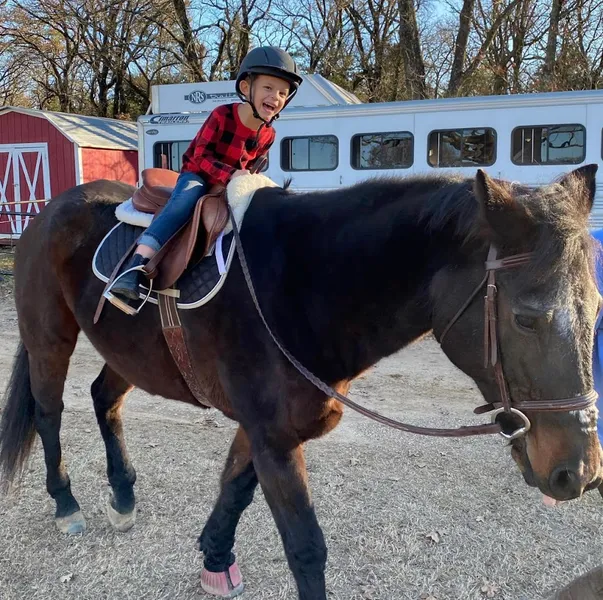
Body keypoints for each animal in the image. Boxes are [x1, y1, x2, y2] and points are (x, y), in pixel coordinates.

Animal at [1, 165, 603, 600]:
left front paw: (214, 556)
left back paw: (123, 494)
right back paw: (66, 503)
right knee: (50, 413)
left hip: (127, 354)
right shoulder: (272, 436)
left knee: (104, 400)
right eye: (526, 317)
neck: (303, 285)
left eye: (596, 307)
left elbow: (234, 488)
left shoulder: (267, 429)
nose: (579, 472)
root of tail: (53, 208)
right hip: (50, 337)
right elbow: (305, 546)